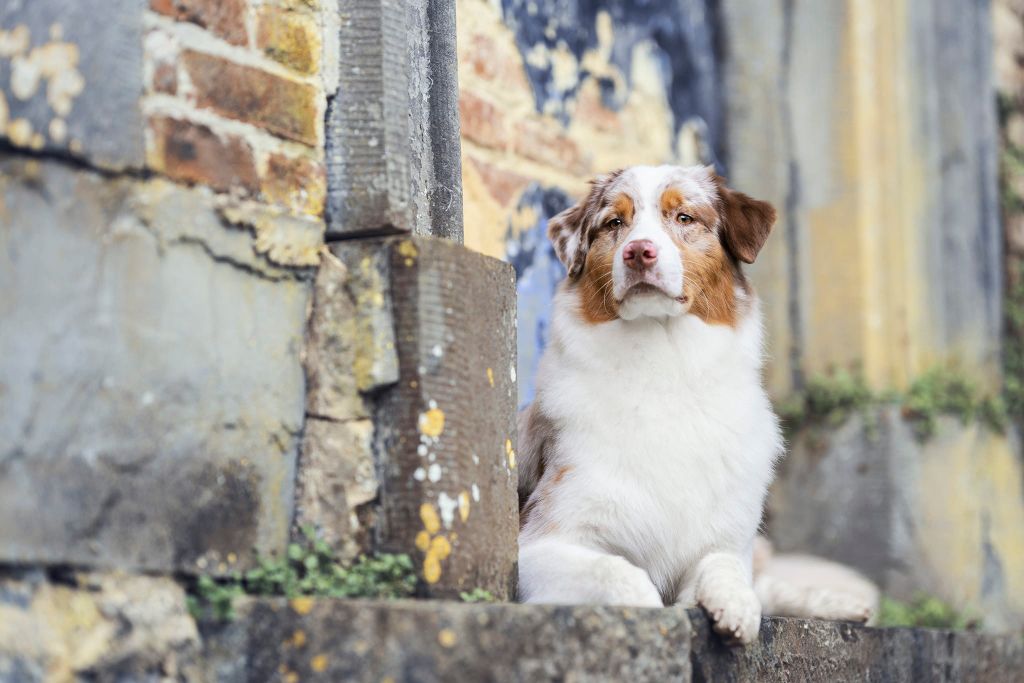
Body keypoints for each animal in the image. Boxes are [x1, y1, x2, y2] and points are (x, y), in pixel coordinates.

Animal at [516, 165, 873, 644]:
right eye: (614, 223)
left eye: (684, 217)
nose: (638, 252)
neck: (665, 367)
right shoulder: (538, 544)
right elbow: (622, 573)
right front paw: (652, 612)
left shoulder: (727, 535)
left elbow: (726, 565)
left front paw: (736, 605)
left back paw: (844, 605)